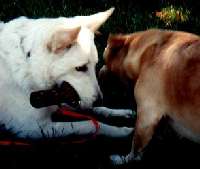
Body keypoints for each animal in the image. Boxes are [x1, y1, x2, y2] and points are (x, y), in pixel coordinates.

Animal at [0, 8, 133, 140]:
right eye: (80, 68)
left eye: (95, 65)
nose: (99, 101)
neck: (29, 61)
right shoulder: (36, 128)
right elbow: (90, 124)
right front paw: (119, 130)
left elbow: (95, 110)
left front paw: (118, 112)